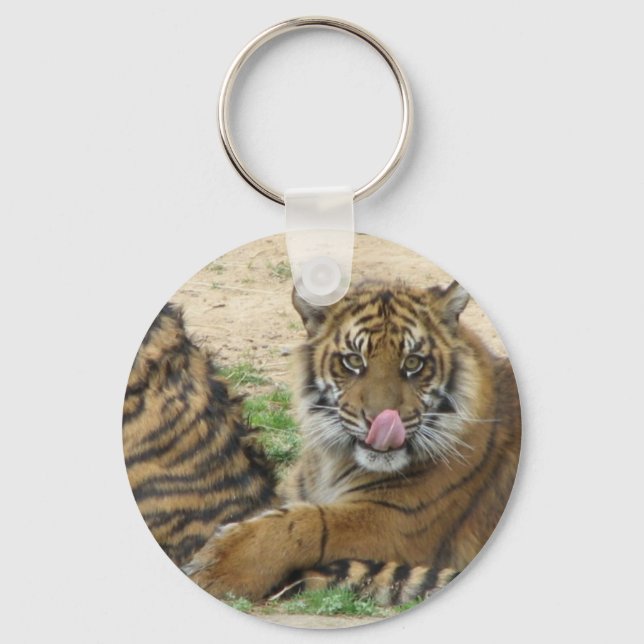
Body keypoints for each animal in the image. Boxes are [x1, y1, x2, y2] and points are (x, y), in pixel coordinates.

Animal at [184, 280, 521, 605]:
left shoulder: (398, 520)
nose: (380, 421)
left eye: (413, 362)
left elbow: (309, 523)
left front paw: (217, 566)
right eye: (353, 361)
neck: (334, 461)